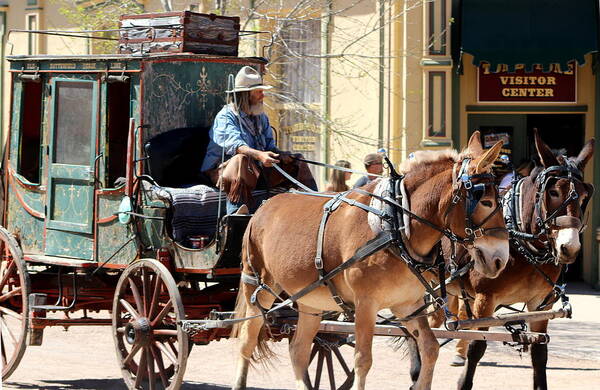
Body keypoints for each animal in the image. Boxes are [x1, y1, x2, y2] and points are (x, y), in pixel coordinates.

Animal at [232, 132, 508, 390]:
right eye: (486, 201)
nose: (501, 258)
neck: (396, 226)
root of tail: (266, 204)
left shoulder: (407, 304)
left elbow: (430, 348)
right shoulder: (365, 304)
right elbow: (363, 360)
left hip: (310, 300)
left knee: (298, 350)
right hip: (258, 287)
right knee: (247, 340)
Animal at [428, 132, 592, 390]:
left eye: (585, 195)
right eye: (554, 192)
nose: (569, 248)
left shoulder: (540, 305)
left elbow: (539, 353)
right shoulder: (485, 299)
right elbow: (477, 346)